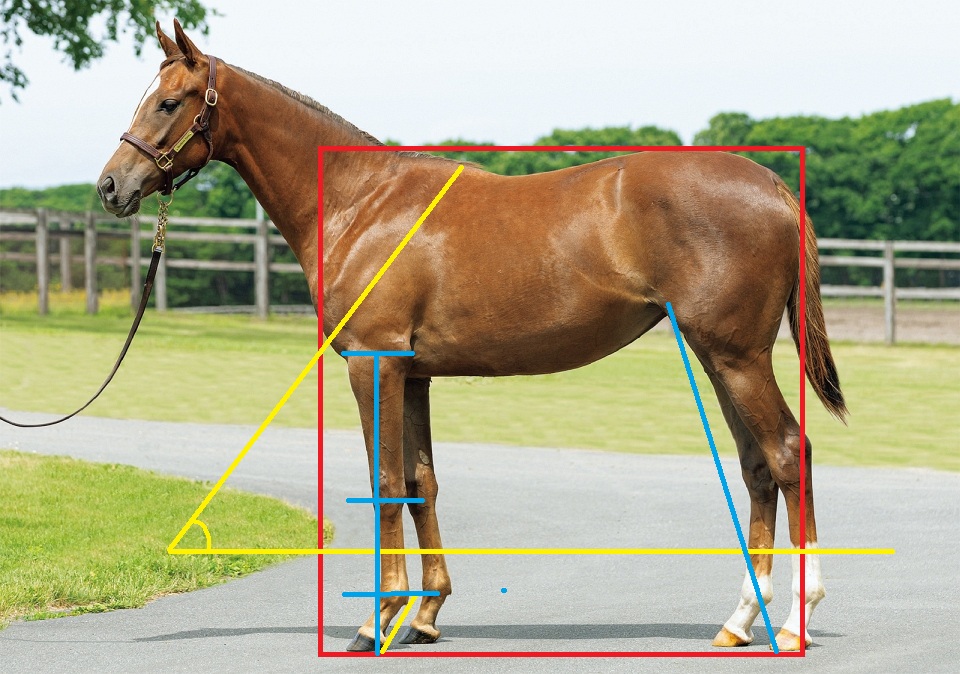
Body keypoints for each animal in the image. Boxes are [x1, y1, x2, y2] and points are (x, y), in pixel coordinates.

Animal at [98, 20, 846, 653]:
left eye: (169, 102)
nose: (111, 186)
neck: (361, 202)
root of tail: (772, 184)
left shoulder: (372, 365)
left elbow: (384, 479)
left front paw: (377, 620)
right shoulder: (413, 373)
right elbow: (421, 480)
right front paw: (426, 613)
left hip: (737, 356)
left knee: (787, 454)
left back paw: (798, 617)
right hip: (718, 355)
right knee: (757, 467)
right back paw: (740, 620)